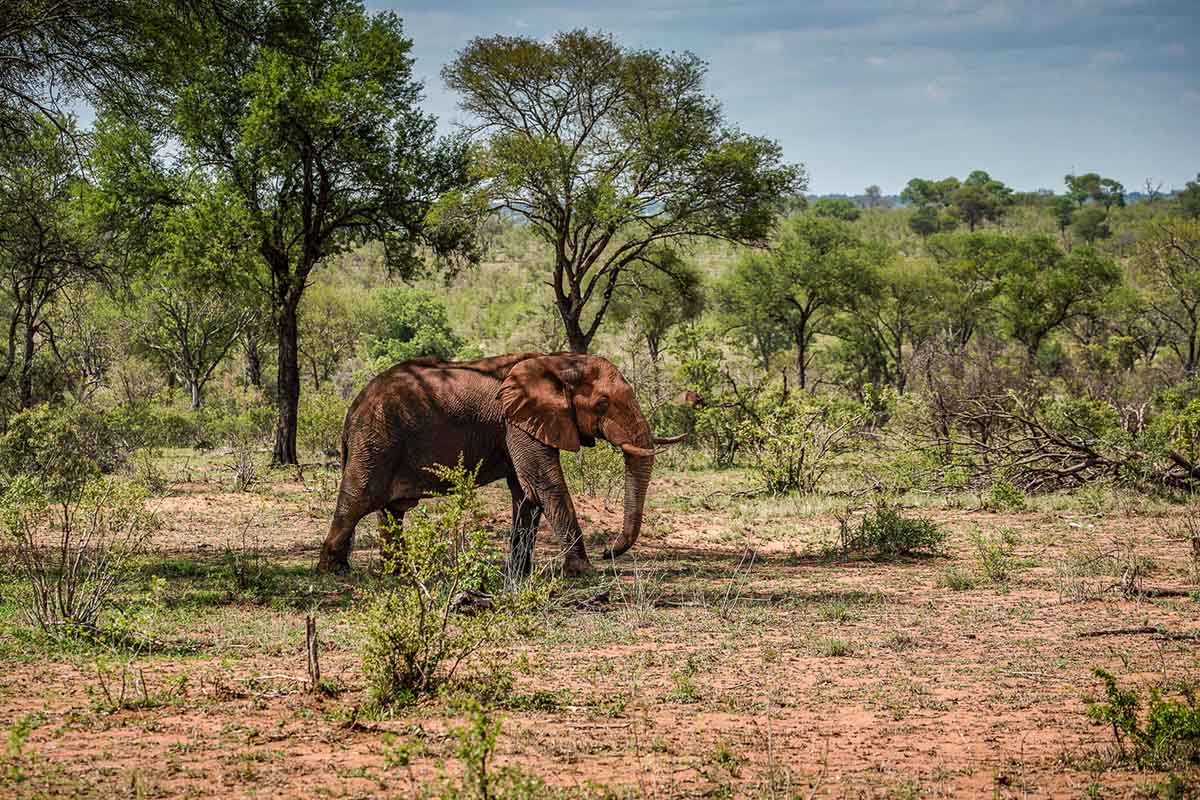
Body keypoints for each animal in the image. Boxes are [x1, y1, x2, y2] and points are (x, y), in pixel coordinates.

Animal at [316, 350, 686, 575]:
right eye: (602, 404)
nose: (608, 552)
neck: (557, 361)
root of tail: (352, 408)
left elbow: (525, 494)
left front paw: (519, 573)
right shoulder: (517, 421)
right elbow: (544, 483)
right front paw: (583, 572)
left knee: (390, 511)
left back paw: (399, 572)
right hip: (376, 439)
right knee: (357, 499)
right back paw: (334, 571)